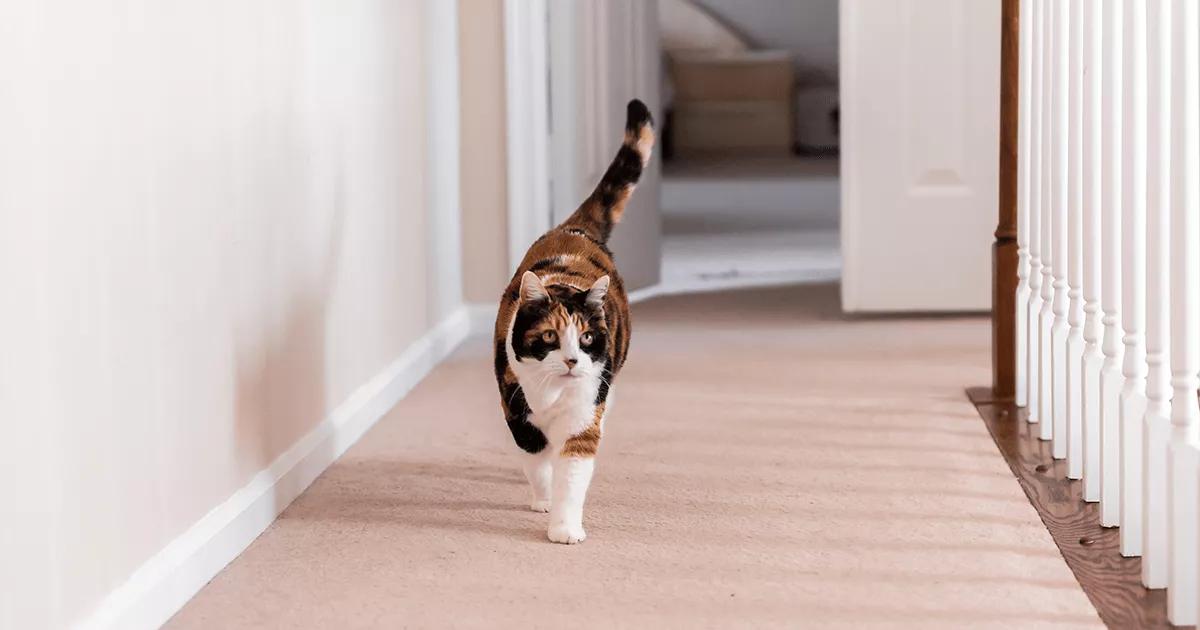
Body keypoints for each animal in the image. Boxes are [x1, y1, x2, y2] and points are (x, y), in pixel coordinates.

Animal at [489, 98, 657, 540]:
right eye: (549, 336)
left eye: (586, 339)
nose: (571, 361)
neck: (552, 394)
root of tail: (574, 229)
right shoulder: (515, 405)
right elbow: (536, 458)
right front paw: (543, 499)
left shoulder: (585, 414)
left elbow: (573, 471)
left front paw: (565, 528)